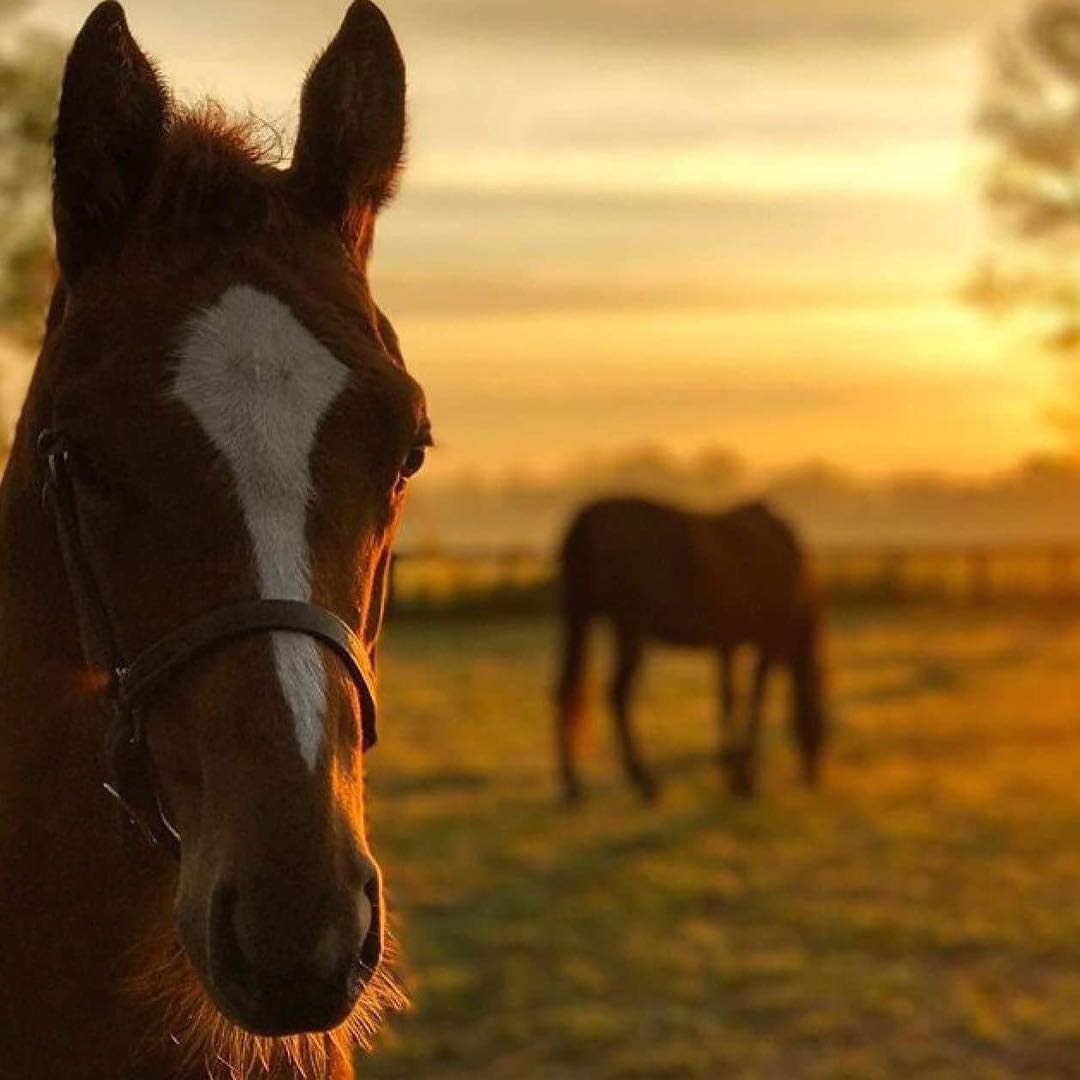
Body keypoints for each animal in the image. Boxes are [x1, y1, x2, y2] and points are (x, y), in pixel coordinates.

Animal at [557, 496, 825, 803]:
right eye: (825, 717)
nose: (814, 774)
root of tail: (586, 518)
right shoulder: (766, 643)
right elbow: (755, 701)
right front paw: (745, 778)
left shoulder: (726, 643)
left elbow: (728, 699)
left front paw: (729, 769)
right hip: (628, 629)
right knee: (617, 694)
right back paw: (644, 782)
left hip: (578, 618)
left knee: (565, 689)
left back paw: (572, 786)